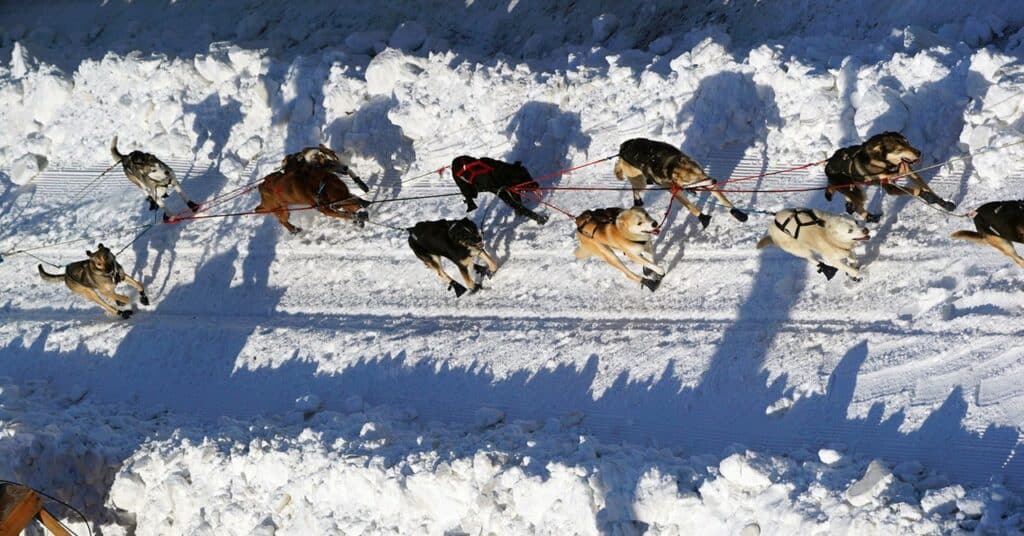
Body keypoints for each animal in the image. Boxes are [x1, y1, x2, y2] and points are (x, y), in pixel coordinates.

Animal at [610, 137, 749, 227]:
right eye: (690, 179)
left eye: (700, 171)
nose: (714, 180)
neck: (670, 164)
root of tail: (622, 148)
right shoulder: (676, 192)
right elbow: (691, 207)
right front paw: (702, 217)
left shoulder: (705, 180)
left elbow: (723, 200)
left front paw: (737, 213)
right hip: (639, 181)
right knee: (635, 189)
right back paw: (637, 200)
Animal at [819, 132, 954, 222]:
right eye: (899, 148)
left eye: (907, 142)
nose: (918, 153)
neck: (887, 165)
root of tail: (827, 167)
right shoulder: (890, 187)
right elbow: (916, 190)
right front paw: (927, 196)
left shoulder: (909, 172)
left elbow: (926, 187)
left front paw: (943, 203)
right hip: (857, 192)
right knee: (857, 205)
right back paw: (871, 218)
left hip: (854, 189)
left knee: (850, 204)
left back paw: (855, 210)